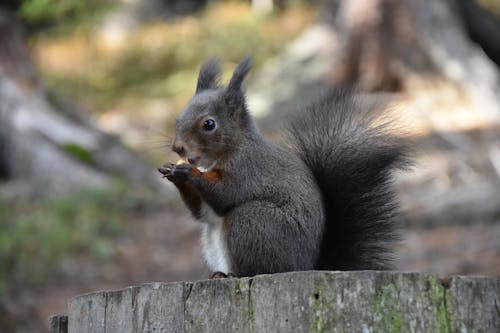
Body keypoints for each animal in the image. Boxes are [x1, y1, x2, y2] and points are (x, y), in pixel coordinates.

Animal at [157, 57, 410, 278]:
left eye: (209, 124)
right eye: (178, 119)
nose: (177, 147)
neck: (225, 152)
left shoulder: (248, 168)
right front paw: (174, 174)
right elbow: (201, 212)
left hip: (253, 222)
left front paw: (188, 173)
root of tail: (306, 266)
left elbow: (227, 193)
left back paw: (232, 275)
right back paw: (219, 274)